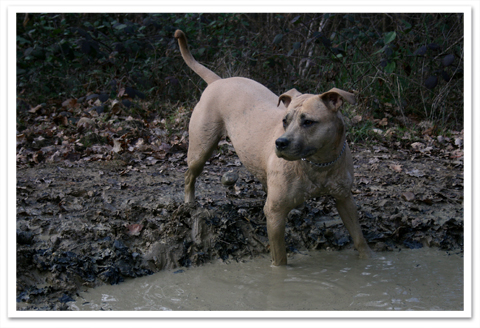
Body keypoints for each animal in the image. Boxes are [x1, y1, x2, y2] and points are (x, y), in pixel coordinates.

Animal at [174, 30, 374, 266]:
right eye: (284, 121)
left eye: (308, 122)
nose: (280, 143)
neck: (318, 163)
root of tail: (218, 81)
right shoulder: (275, 214)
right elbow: (280, 259)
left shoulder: (345, 200)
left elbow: (359, 239)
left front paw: (368, 260)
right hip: (200, 148)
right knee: (189, 176)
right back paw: (189, 204)